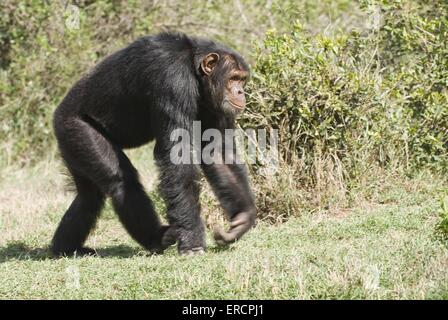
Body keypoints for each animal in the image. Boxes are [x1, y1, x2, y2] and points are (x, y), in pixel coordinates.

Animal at [51, 31, 258, 258]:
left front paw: (243, 217)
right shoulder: (173, 80)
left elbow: (217, 150)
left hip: (72, 145)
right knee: (121, 181)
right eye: (233, 78)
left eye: (242, 79)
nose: (240, 92)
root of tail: (57, 115)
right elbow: (177, 154)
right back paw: (156, 238)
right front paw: (192, 240)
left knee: (89, 196)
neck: (194, 69)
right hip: (77, 130)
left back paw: (66, 248)